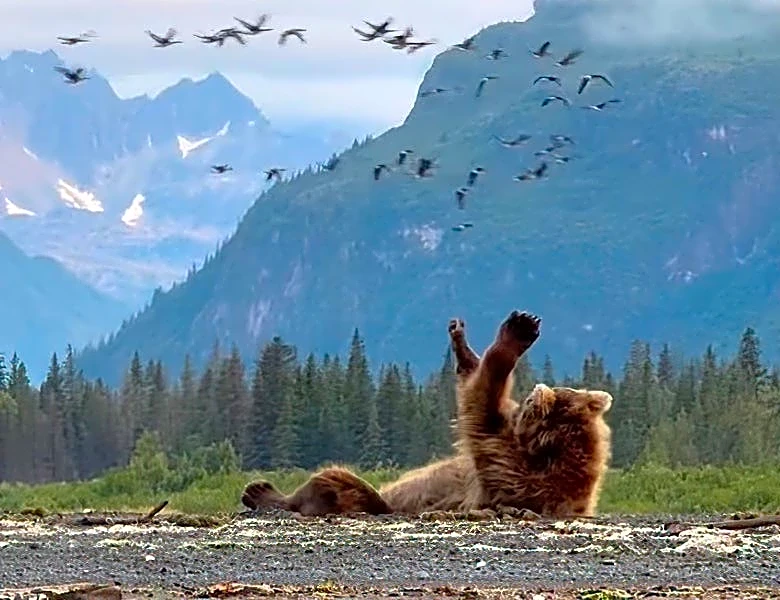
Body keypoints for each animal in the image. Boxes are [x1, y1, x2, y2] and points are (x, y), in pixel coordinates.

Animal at [240, 310, 614, 518]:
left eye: (530, 404)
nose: (531, 393)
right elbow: (476, 386)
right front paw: (461, 341)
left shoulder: (510, 468)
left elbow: (481, 405)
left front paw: (518, 331)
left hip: (370, 498)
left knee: (335, 481)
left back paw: (261, 492)